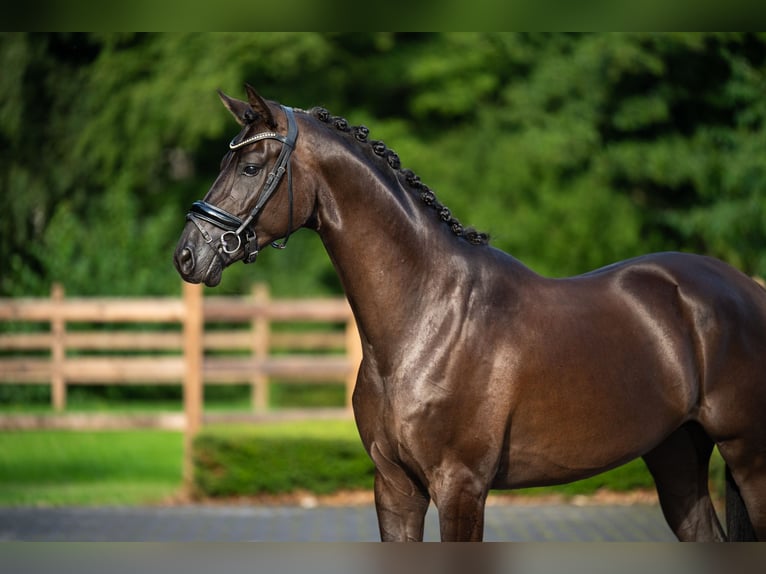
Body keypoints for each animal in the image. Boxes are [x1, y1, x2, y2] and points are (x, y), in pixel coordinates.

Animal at [174, 85, 766, 541]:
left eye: (250, 166)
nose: (187, 254)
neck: (426, 319)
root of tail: (745, 289)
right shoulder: (396, 486)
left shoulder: (460, 487)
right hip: (676, 453)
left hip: (748, 455)